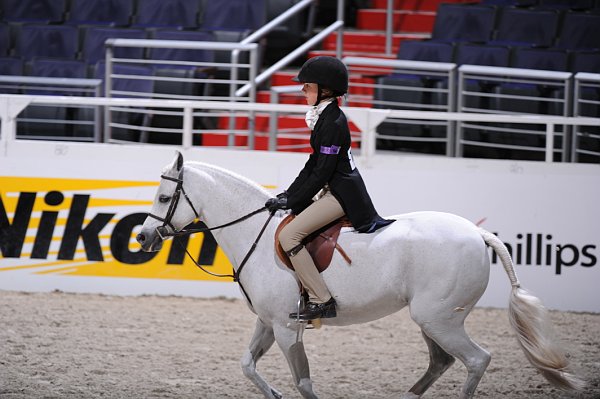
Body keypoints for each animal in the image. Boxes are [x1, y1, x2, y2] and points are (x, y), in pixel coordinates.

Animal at [137, 152, 580, 398]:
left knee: (476, 360)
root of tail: (477, 232)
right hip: (432, 319)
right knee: (441, 361)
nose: (142, 236)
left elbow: (304, 383)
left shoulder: (287, 327)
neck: (255, 235)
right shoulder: (268, 321)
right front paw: (274, 392)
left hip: (439, 318)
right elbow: (247, 366)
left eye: (163, 197)